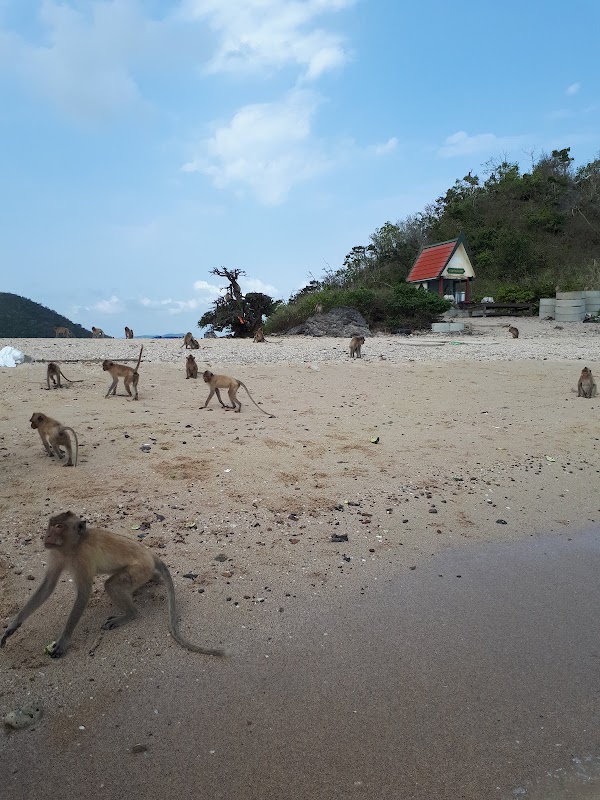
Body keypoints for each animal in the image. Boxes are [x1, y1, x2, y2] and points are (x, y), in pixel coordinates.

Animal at [0, 512, 225, 659]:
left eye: (59, 527)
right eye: (51, 524)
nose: (46, 536)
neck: (73, 546)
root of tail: (150, 554)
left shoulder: (82, 559)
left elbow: (84, 593)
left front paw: (63, 641)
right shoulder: (56, 554)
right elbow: (47, 586)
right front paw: (12, 627)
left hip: (138, 569)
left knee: (112, 585)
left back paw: (130, 614)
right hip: (143, 571)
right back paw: (155, 579)